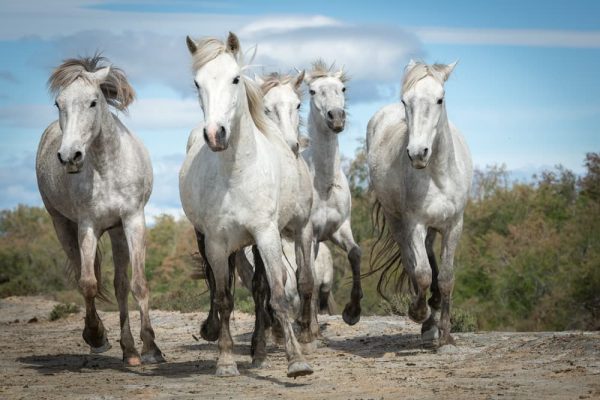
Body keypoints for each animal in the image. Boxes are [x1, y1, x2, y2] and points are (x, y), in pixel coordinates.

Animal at [37, 55, 164, 366]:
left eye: (93, 102)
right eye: (58, 104)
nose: (69, 156)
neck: (106, 169)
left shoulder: (133, 220)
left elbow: (138, 284)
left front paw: (151, 348)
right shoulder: (88, 226)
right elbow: (88, 283)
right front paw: (96, 336)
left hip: (117, 231)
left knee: (120, 284)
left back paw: (131, 351)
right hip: (62, 225)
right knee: (89, 277)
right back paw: (119, 346)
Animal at [179, 32, 314, 378]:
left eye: (235, 79)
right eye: (197, 83)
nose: (215, 134)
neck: (236, 174)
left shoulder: (266, 235)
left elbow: (276, 293)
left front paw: (296, 361)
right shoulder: (215, 241)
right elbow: (224, 298)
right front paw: (226, 360)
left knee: (262, 287)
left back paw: (261, 350)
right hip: (212, 240)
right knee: (219, 285)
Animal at [366, 60, 474, 346]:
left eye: (440, 99)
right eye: (406, 101)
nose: (417, 153)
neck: (438, 175)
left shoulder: (453, 226)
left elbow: (446, 277)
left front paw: (445, 333)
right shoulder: (414, 224)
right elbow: (423, 272)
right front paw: (419, 314)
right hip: (397, 223)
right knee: (412, 262)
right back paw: (426, 317)